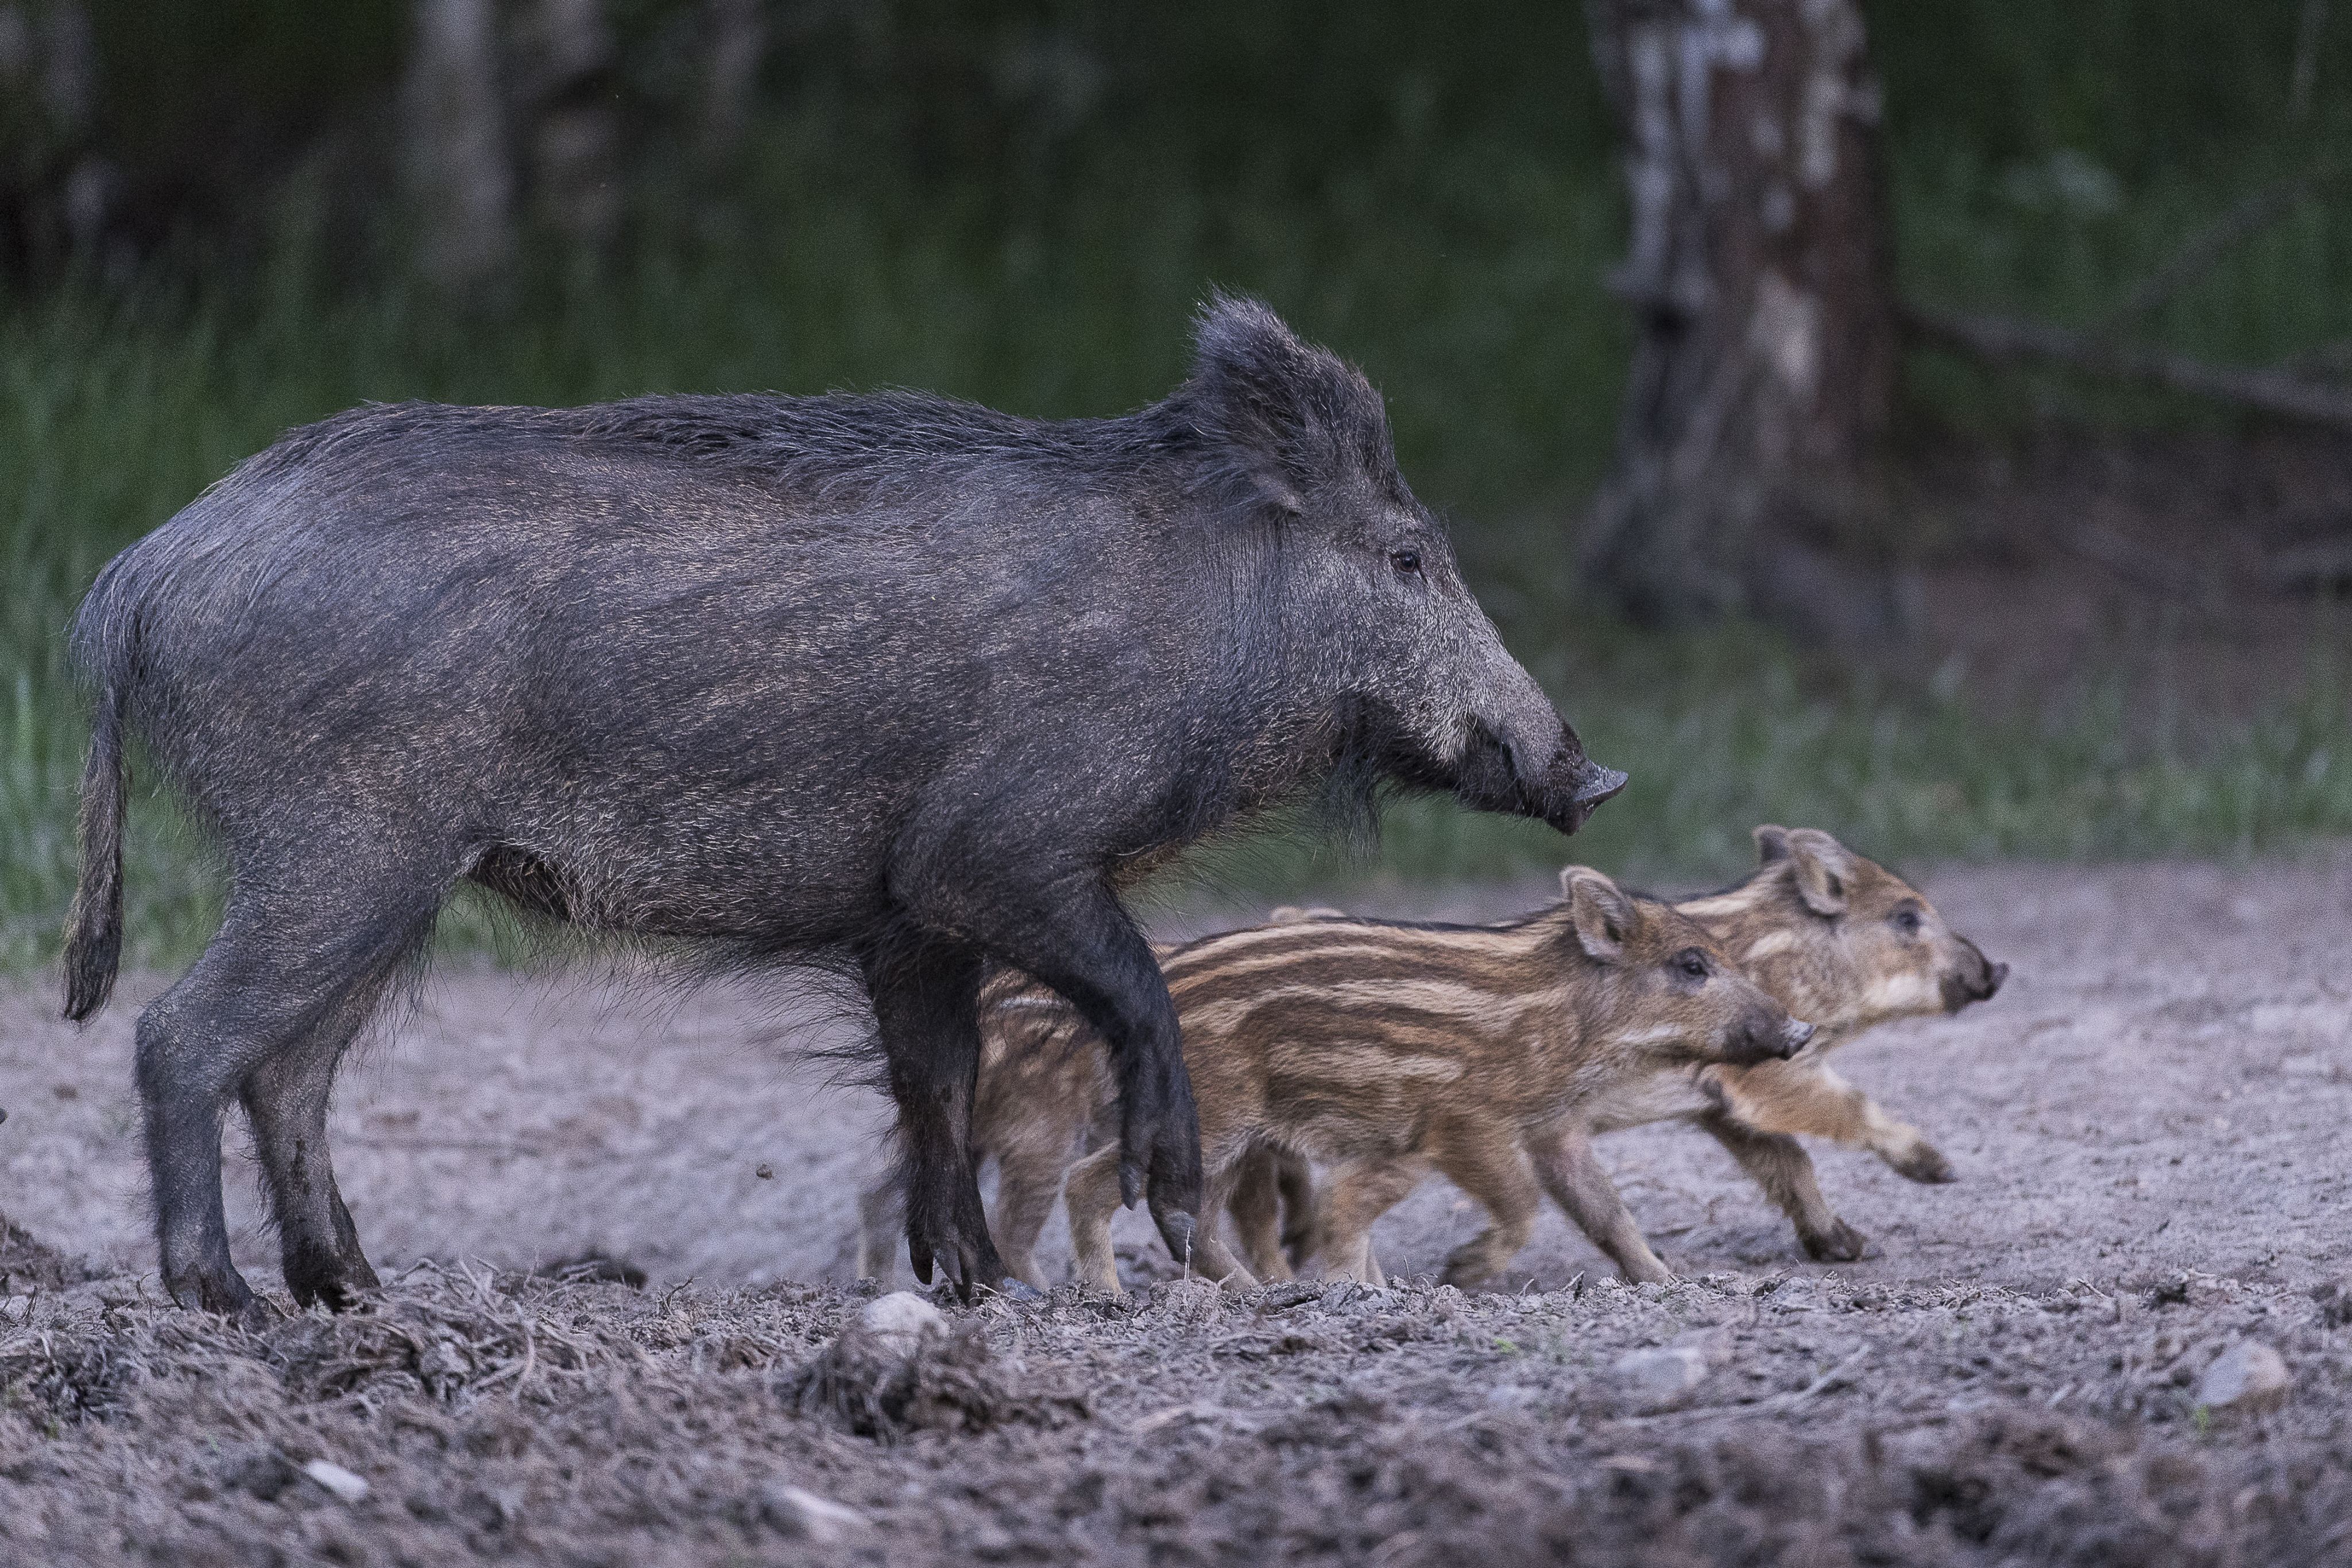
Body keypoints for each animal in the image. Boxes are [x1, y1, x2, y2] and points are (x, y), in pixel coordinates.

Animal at [60, 294, 1625, 1316]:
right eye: (1408, 556)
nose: (1589, 771)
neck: (1203, 624)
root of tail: (141, 572)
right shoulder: (993, 857)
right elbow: (1133, 995)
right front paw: (1170, 1236)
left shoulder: (904, 923)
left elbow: (940, 1086)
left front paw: (976, 1289)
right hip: (341, 850)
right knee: (179, 1037)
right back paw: (224, 1301)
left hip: (386, 883)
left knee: (289, 1073)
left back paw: (358, 1294)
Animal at [1053, 868, 1812, 1295]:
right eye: (1692, 965)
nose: (1799, 1032)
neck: (1563, 1020)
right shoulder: (1469, 1122)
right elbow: (1520, 1202)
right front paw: (1458, 1275)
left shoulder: (1554, 1129)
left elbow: (1606, 1211)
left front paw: (1666, 1282)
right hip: (1210, 1120)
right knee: (1090, 1183)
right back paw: (1107, 1295)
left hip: (1227, 1139)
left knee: (1199, 1222)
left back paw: (1254, 1296)